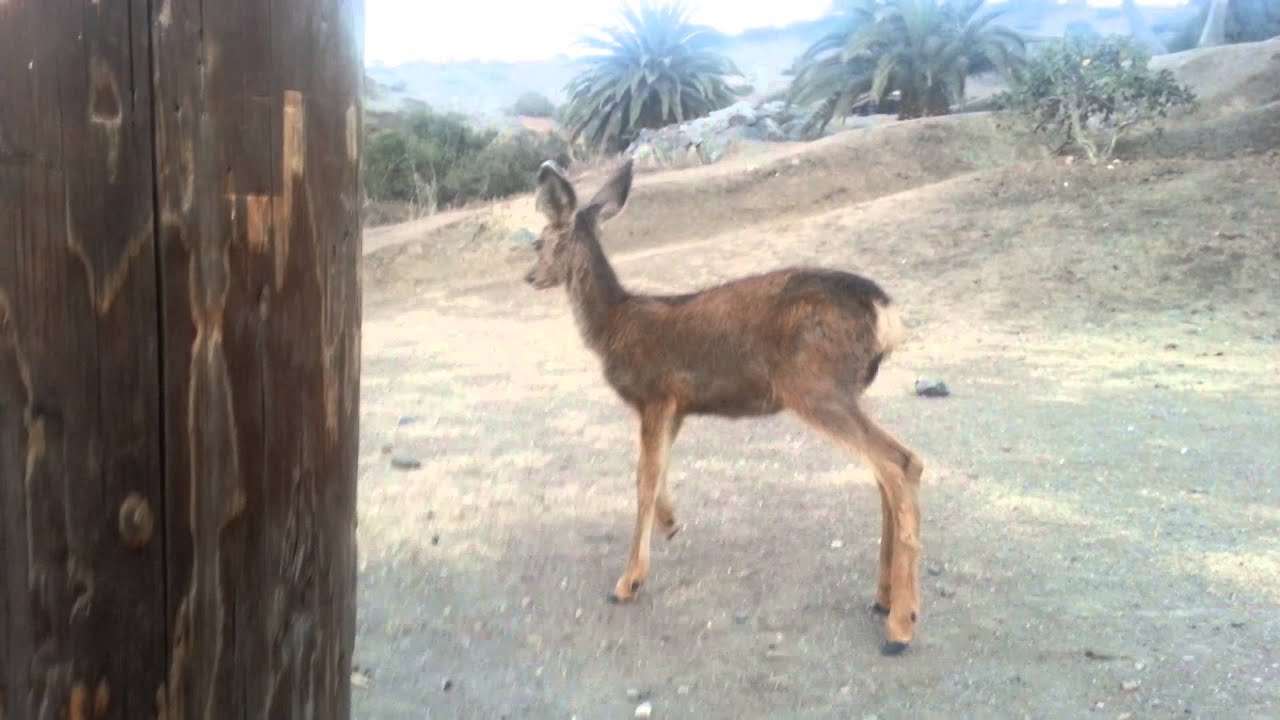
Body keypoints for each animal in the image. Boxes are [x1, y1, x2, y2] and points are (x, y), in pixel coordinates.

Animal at [523, 158, 925, 655]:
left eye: (540, 241)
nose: (530, 277)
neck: (613, 326)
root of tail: (885, 311)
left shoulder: (655, 393)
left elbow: (643, 479)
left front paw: (628, 581)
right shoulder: (677, 405)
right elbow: (656, 471)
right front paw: (670, 522)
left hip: (813, 384)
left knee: (900, 463)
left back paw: (901, 625)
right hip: (844, 390)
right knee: (886, 472)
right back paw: (884, 599)